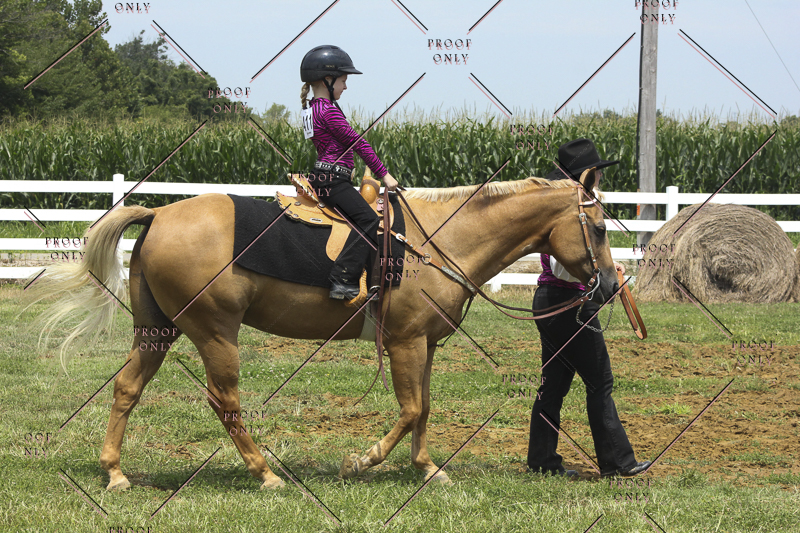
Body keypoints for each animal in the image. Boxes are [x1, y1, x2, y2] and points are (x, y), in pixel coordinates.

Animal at [24, 169, 617, 491]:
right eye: (599, 227)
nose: (610, 285)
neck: (437, 240)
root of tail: (160, 216)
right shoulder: (403, 341)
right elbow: (409, 409)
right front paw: (363, 460)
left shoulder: (423, 344)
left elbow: (425, 409)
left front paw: (426, 469)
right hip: (215, 332)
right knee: (225, 401)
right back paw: (264, 472)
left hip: (156, 331)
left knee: (127, 389)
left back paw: (115, 472)